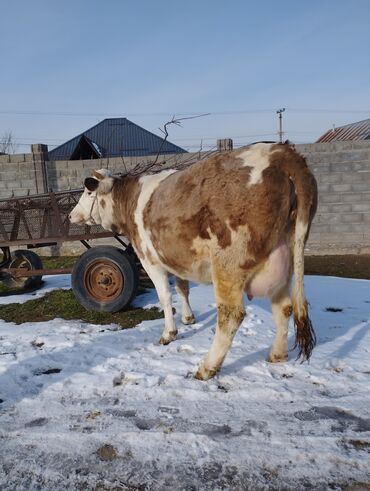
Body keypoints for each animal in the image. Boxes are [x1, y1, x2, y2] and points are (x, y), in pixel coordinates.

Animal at [69, 142, 318, 380]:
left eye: (88, 192)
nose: (71, 215)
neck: (129, 200)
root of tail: (282, 153)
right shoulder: (177, 257)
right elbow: (182, 288)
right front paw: (188, 318)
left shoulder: (150, 259)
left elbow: (165, 296)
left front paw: (169, 333)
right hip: (283, 258)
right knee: (284, 307)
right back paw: (277, 354)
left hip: (228, 265)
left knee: (231, 315)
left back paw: (207, 368)